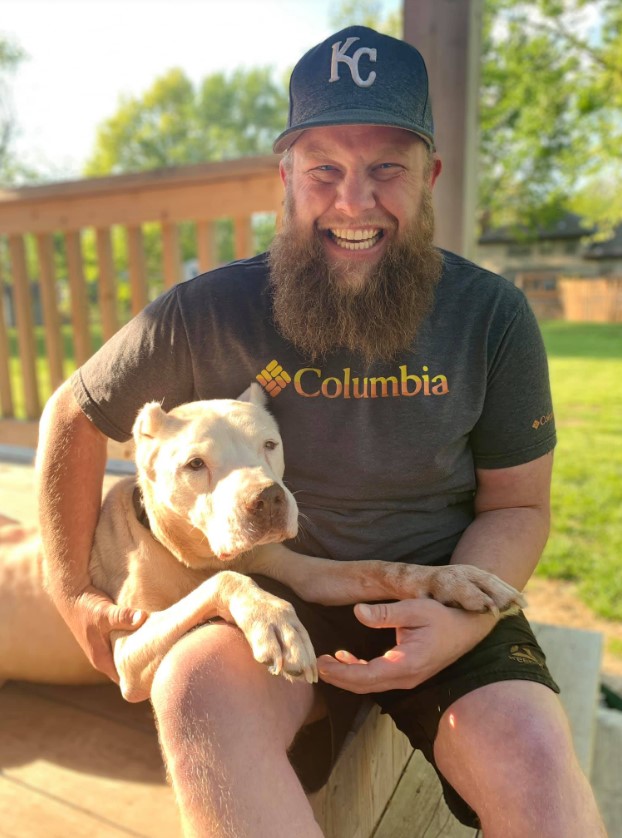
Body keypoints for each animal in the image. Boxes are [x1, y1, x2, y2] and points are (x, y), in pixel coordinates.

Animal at [0, 388, 528, 704]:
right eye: (195, 464)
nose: (269, 498)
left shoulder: (306, 571)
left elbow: (380, 567)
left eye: (270, 445)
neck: (185, 550)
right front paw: (275, 622)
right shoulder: (126, 654)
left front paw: (455, 578)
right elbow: (227, 579)